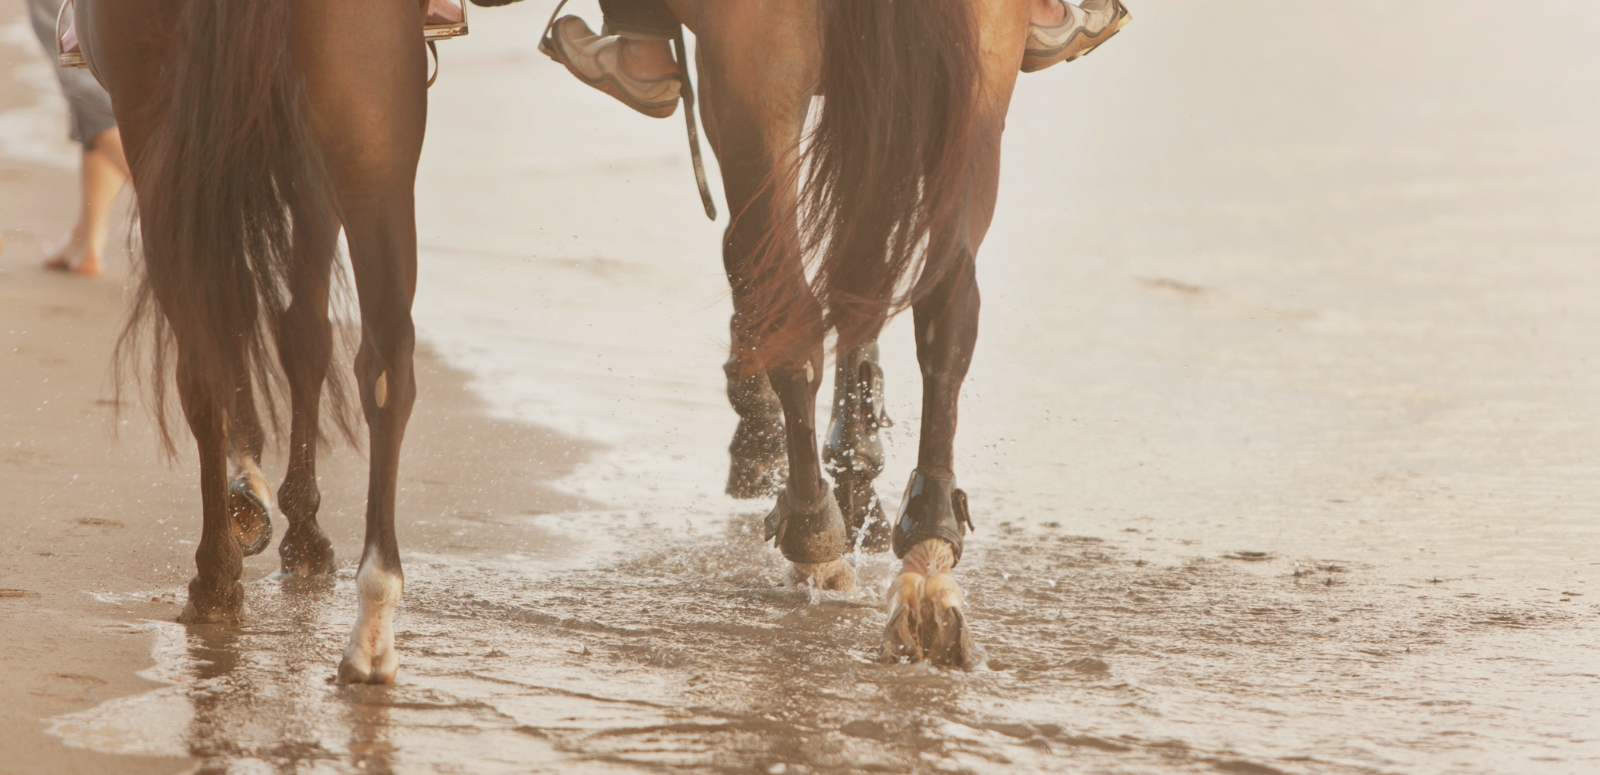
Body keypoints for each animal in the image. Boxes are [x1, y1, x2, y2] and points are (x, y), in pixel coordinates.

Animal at [77, 0, 428, 682]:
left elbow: (292, 332)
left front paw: (283, 514)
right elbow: (300, 333)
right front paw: (290, 518)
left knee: (211, 354)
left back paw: (219, 576)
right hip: (369, 143)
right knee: (385, 361)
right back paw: (371, 621)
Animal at [662, 0, 1024, 666]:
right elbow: (861, 276)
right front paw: (859, 462)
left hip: (750, 80)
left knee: (790, 304)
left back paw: (816, 541)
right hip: (979, 81)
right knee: (947, 295)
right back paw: (927, 557)